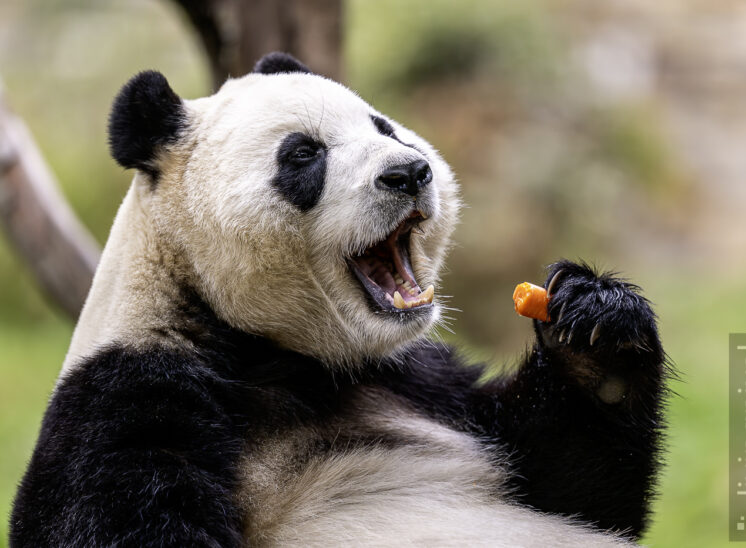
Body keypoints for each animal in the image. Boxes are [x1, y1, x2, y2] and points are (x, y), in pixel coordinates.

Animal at [10, 52, 667, 547]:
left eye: (385, 128)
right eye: (303, 154)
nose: (409, 173)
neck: (274, 353)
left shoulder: (419, 379)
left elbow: (575, 486)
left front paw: (594, 327)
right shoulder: (125, 400)